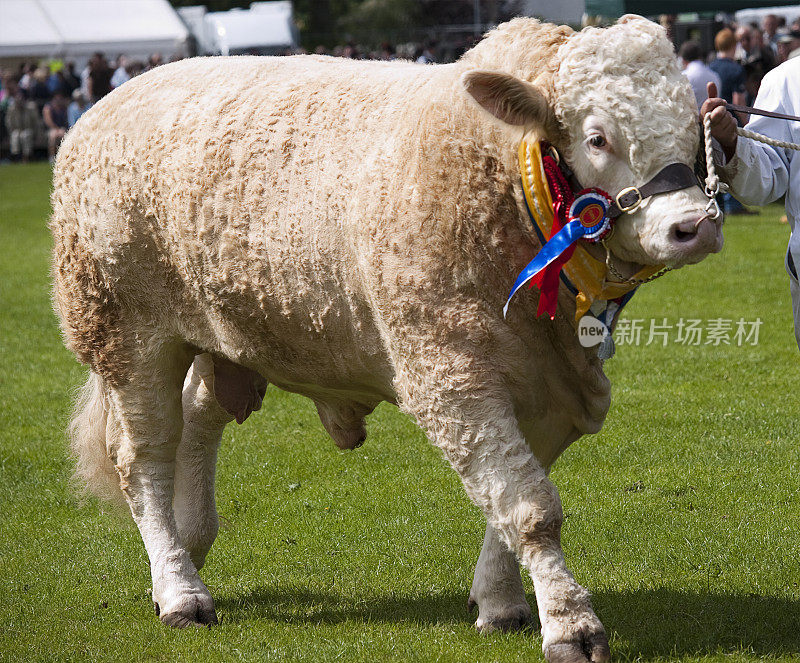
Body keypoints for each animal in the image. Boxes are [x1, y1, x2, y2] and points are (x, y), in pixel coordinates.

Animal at [53, 15, 720, 663]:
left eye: (691, 131)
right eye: (598, 138)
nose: (696, 226)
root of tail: (111, 100)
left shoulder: (556, 386)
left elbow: (512, 498)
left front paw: (499, 599)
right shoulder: (449, 374)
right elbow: (530, 507)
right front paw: (570, 625)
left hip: (223, 334)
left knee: (197, 420)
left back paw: (189, 544)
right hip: (125, 333)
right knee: (143, 457)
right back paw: (179, 590)